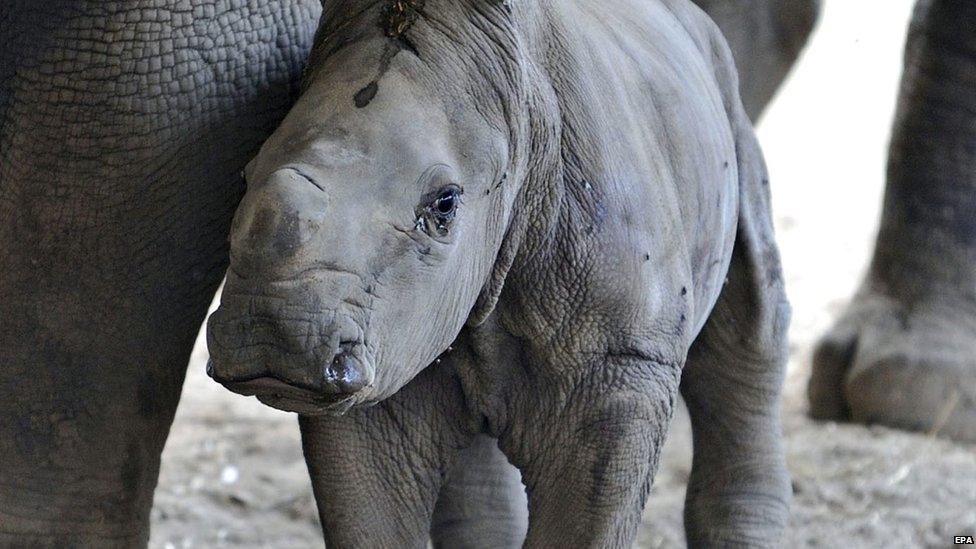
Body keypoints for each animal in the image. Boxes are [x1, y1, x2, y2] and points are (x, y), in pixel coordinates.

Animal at [205, 0, 791, 546]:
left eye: (445, 205)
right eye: (243, 176)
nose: (275, 332)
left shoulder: (625, 360)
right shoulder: (385, 344)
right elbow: (367, 519)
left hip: (726, 97)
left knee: (752, 322)